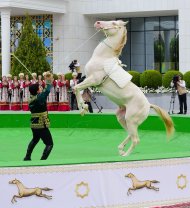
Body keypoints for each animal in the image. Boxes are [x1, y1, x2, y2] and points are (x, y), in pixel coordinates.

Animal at [73, 19, 174, 156]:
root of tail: (148, 105)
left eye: (114, 23)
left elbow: (76, 88)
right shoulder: (88, 80)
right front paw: (83, 107)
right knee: (131, 135)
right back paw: (121, 149)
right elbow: (77, 88)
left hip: (130, 119)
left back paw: (125, 155)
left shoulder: (93, 80)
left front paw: (83, 108)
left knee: (136, 139)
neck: (102, 58)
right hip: (122, 117)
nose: (97, 23)